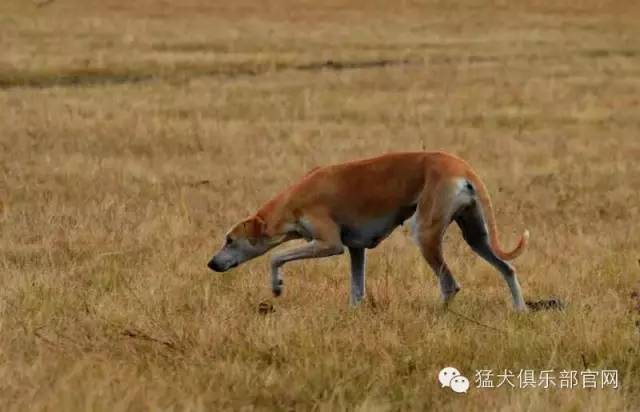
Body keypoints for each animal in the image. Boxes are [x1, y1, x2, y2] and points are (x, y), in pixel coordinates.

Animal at [210, 153, 528, 310]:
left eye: (230, 240)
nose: (212, 263)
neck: (293, 199)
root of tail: (462, 167)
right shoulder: (356, 248)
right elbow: (356, 288)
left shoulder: (329, 244)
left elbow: (275, 257)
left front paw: (277, 286)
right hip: (476, 235)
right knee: (508, 268)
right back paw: (520, 309)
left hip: (425, 232)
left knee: (449, 284)